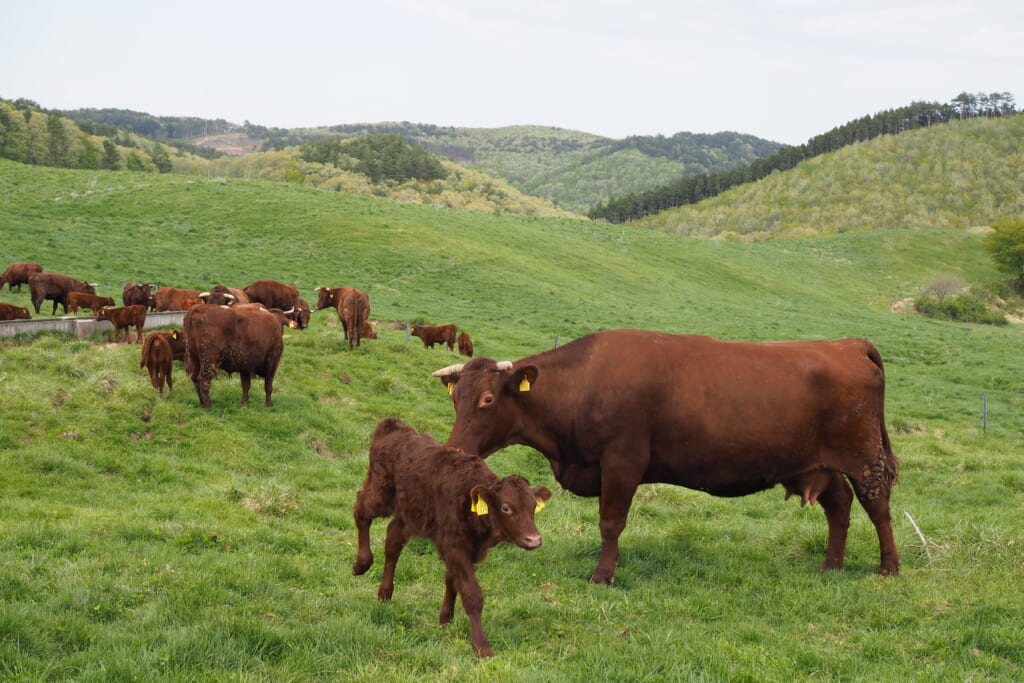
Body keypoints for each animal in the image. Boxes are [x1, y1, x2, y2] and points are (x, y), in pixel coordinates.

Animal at [354, 417, 552, 655]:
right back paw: (361, 564)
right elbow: (472, 594)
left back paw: (385, 593)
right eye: (506, 508)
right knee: (361, 510)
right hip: (380, 492)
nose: (534, 539)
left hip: (408, 512)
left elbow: (452, 581)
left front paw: (445, 620)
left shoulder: (466, 550)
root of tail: (393, 426)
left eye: (533, 507)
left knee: (392, 541)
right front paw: (481, 646)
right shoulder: (454, 545)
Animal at [436, 327, 901, 585]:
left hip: (864, 458)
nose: (454, 452)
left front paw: (602, 575)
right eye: (455, 397)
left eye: (488, 399)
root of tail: (847, 344)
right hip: (820, 466)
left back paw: (889, 568)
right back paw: (831, 567)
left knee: (878, 507)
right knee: (839, 506)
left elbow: (610, 523)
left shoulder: (622, 461)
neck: (582, 384)